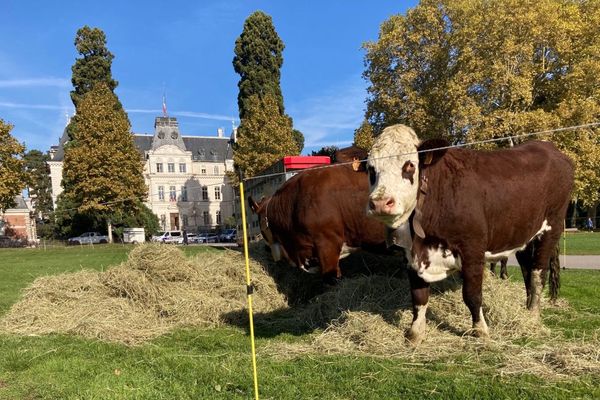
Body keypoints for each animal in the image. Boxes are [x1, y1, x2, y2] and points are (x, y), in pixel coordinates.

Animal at [366, 125, 572, 344]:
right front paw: (415, 333)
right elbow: (419, 297)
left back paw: (532, 316)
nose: (380, 202)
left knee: (538, 273)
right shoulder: (411, 257)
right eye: (371, 169)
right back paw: (525, 310)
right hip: (523, 234)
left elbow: (472, 295)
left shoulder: (472, 250)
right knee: (527, 271)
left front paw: (480, 330)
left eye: (409, 166)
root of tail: (548, 147)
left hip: (551, 228)